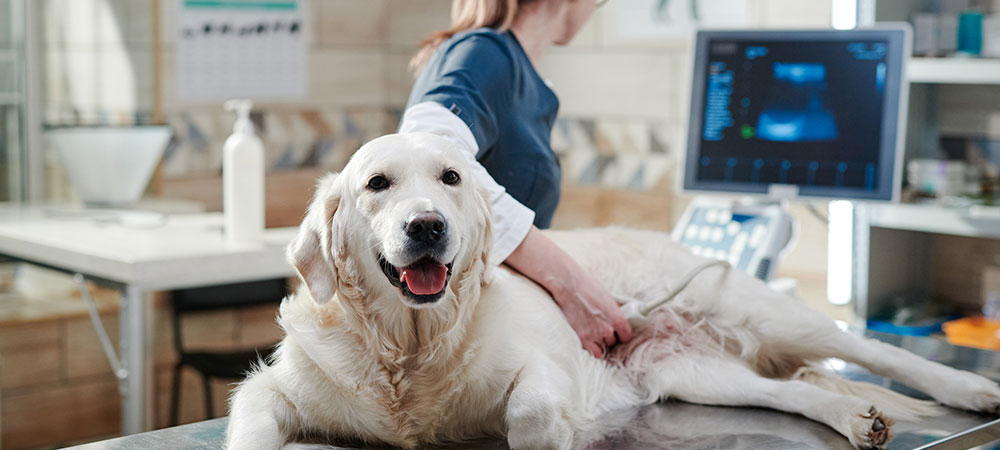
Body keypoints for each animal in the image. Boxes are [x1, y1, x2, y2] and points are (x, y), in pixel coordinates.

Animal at [227, 134, 1000, 450]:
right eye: (377, 184)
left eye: (450, 178)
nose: (427, 227)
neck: (409, 350)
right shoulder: (271, 388)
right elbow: (252, 424)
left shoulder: (543, 368)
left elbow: (530, 410)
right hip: (695, 373)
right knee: (793, 393)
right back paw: (854, 420)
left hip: (752, 307)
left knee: (865, 346)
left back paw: (971, 390)